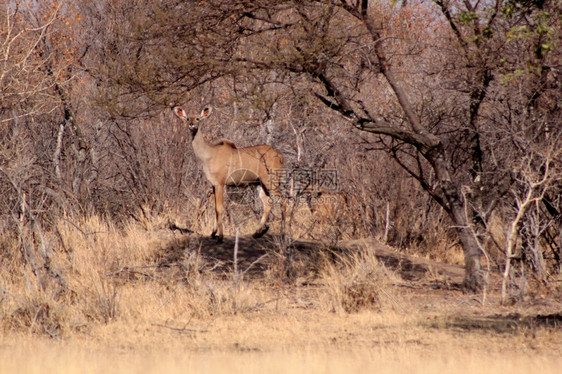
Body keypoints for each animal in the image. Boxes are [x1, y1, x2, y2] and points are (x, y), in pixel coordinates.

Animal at [172, 104, 284, 243]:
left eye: (198, 118)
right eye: (187, 118)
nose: (192, 125)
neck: (209, 155)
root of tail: (280, 156)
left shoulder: (220, 184)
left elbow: (219, 209)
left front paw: (220, 236)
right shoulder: (213, 185)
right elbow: (215, 208)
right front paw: (212, 233)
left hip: (272, 181)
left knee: (283, 200)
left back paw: (284, 232)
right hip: (261, 184)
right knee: (268, 203)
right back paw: (257, 233)